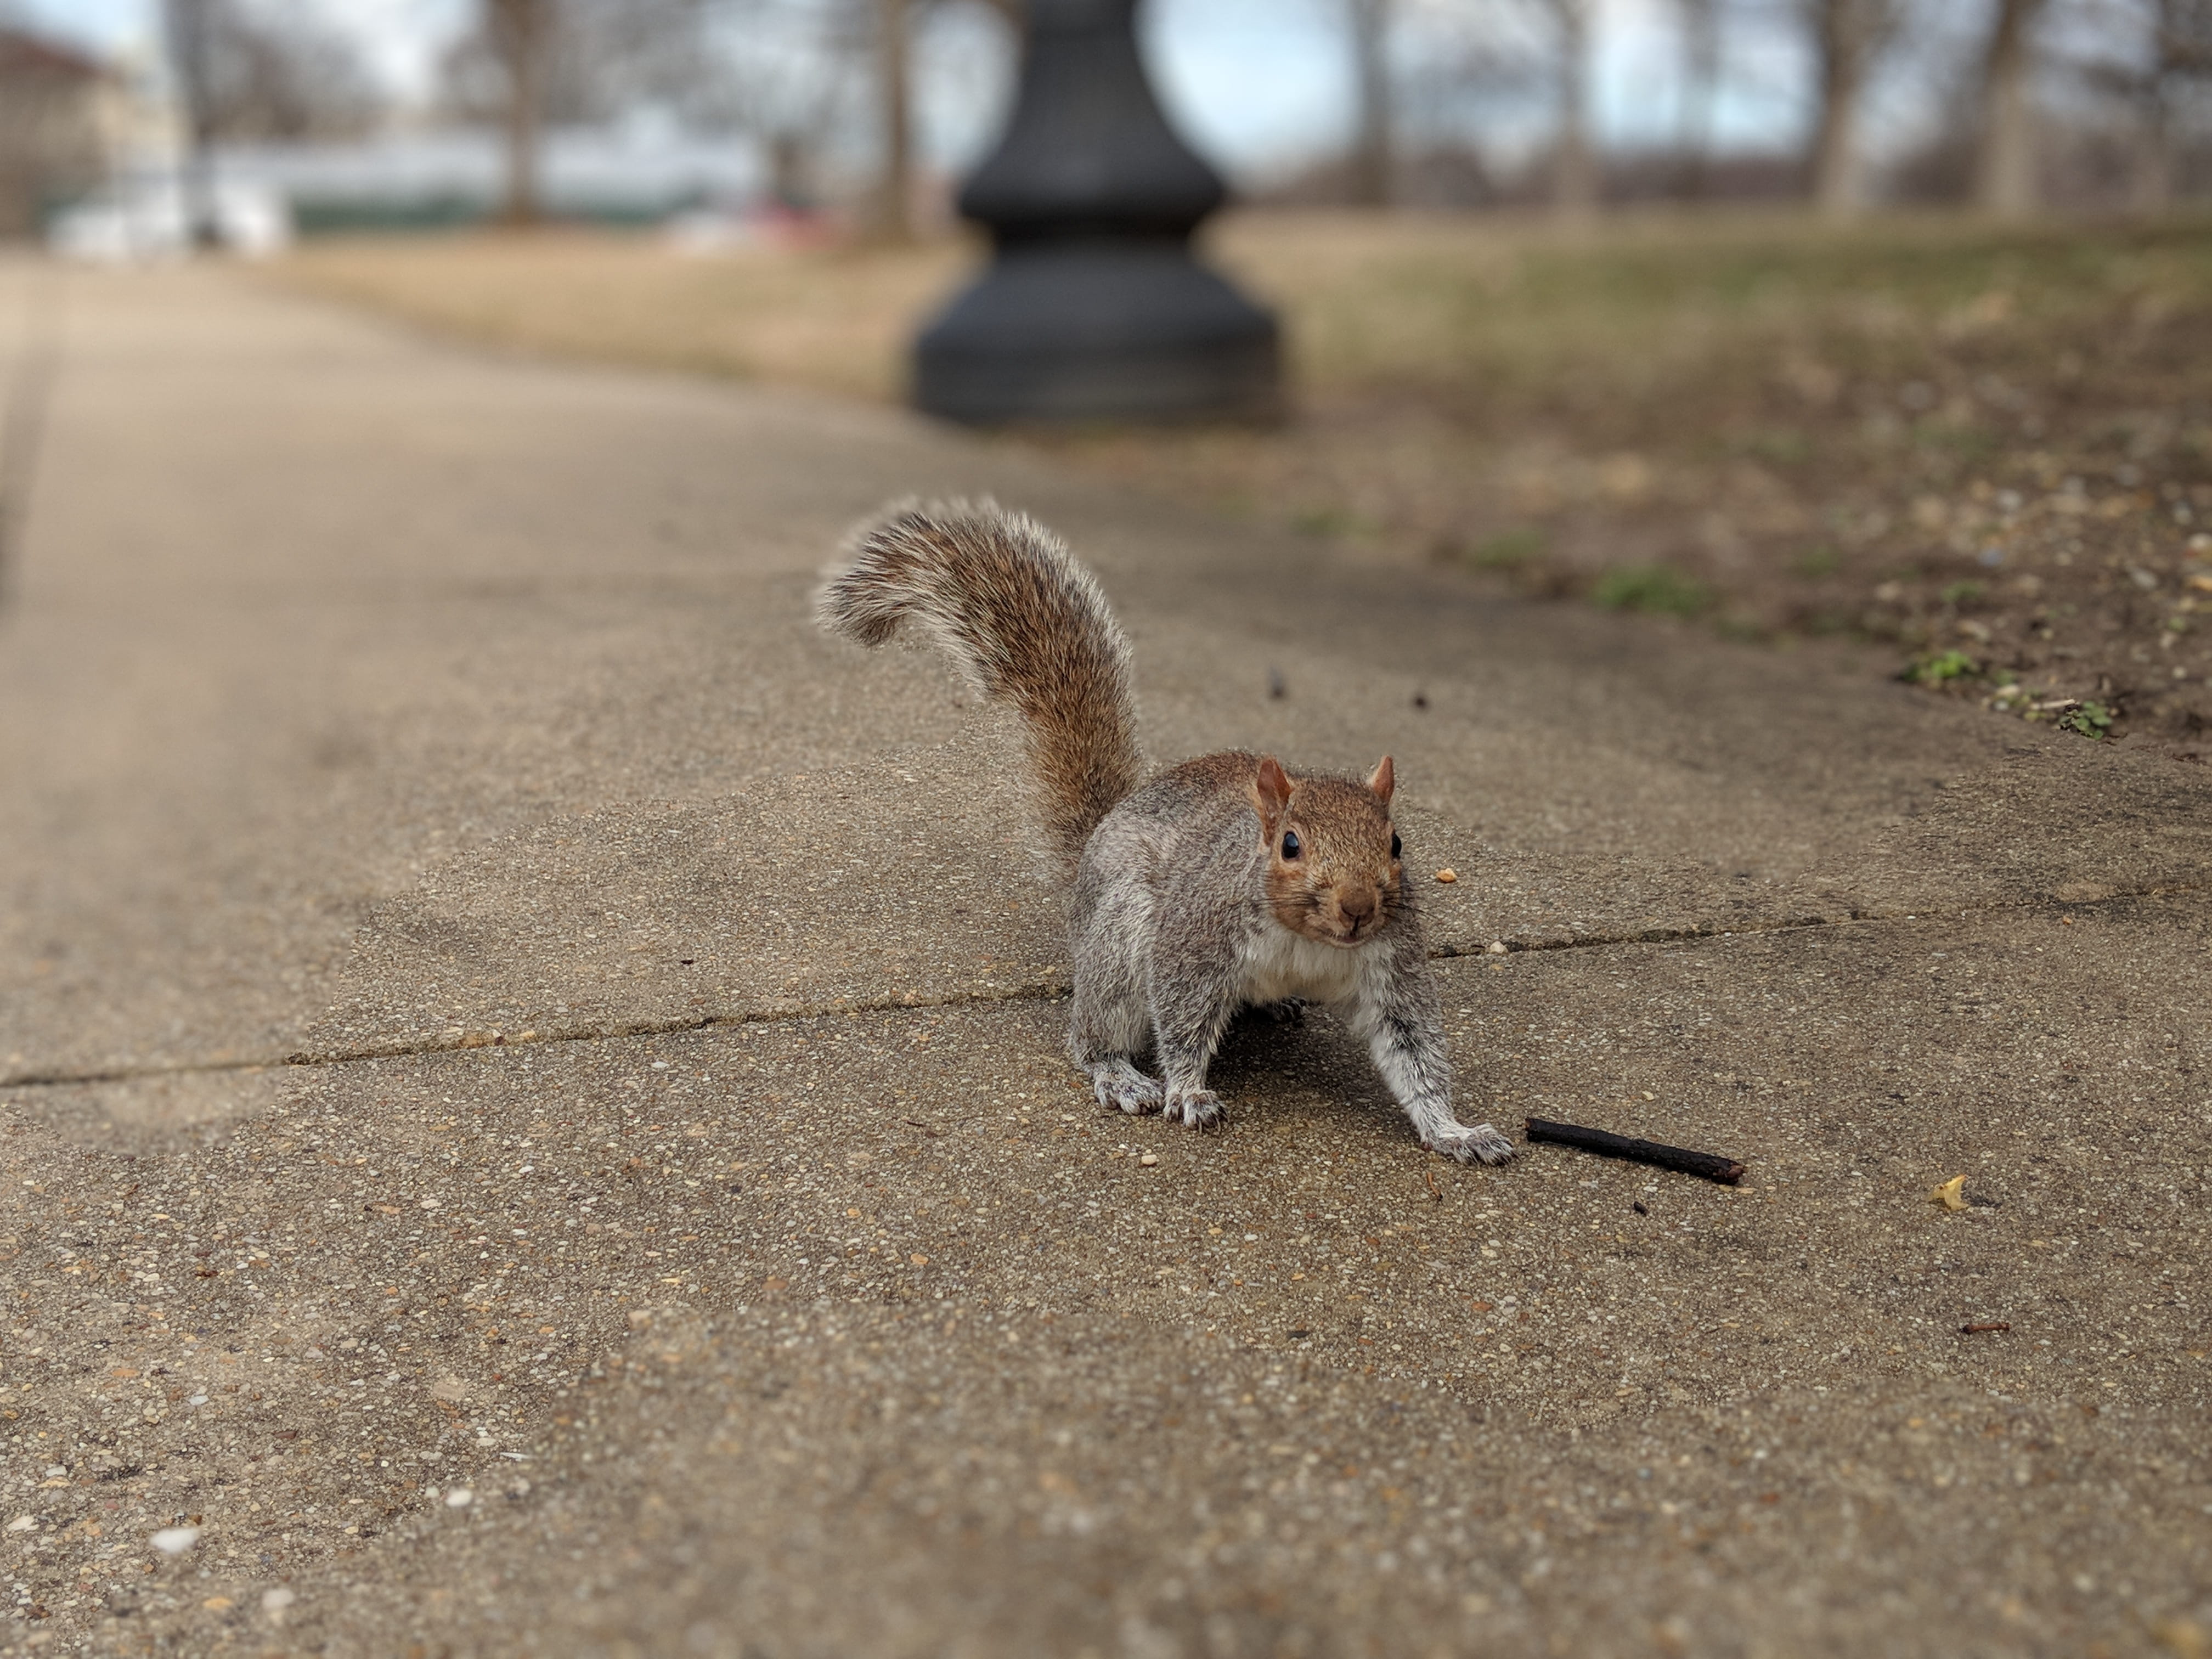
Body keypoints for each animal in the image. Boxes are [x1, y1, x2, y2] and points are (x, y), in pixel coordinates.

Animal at [817, 498, 1515, 1165]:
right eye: (1290, 845)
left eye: (1396, 844)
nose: (1358, 908)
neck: (1309, 942)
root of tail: (1094, 847)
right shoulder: (1196, 939)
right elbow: (1182, 1018)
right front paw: (1188, 1091)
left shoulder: (1390, 966)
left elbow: (1415, 1051)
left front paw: (1455, 1132)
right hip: (1122, 934)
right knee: (1092, 1031)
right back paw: (1118, 1074)